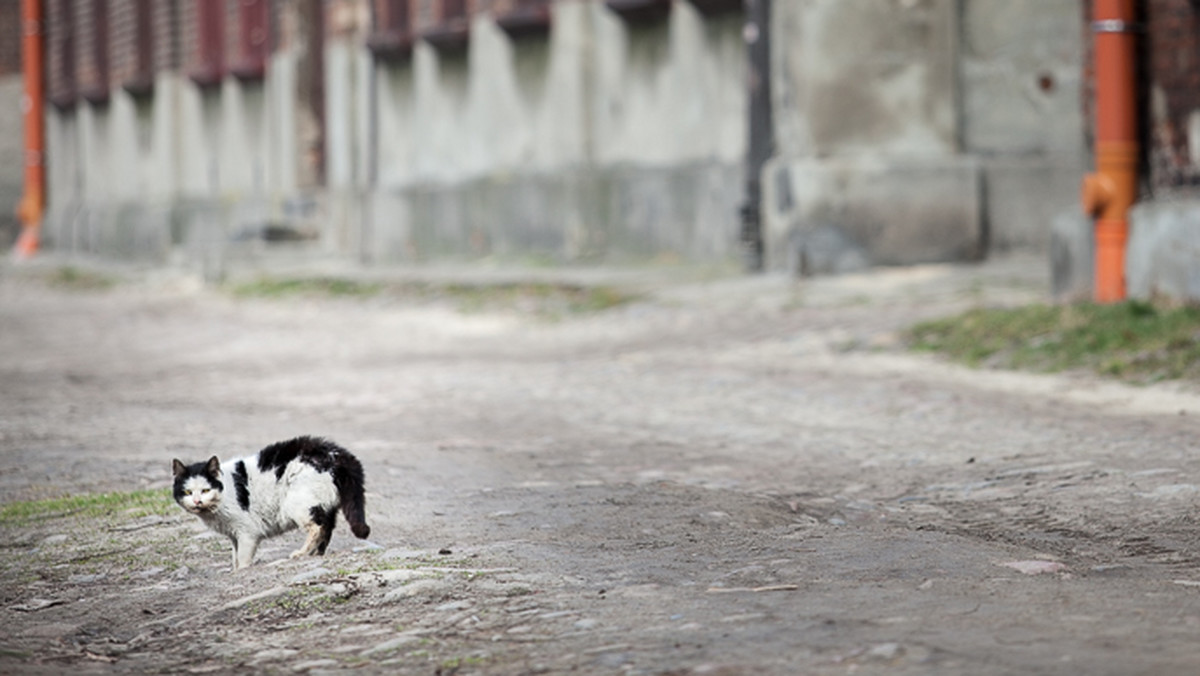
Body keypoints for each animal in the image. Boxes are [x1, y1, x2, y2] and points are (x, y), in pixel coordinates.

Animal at [171, 434, 369, 571]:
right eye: (188, 492)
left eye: (205, 490)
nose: (197, 501)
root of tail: (337, 454)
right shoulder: (234, 535)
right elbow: (235, 557)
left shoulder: (247, 533)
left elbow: (243, 560)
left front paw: (242, 571)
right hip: (324, 506)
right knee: (326, 529)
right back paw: (314, 554)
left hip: (298, 504)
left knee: (318, 527)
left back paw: (301, 553)